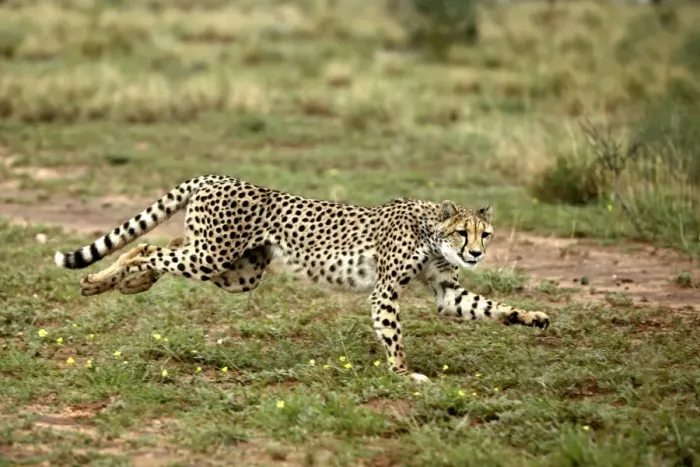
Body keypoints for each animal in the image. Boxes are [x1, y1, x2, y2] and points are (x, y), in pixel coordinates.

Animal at [54, 175, 550, 383]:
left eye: (485, 233)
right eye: (463, 232)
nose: (476, 253)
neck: (432, 231)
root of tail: (216, 176)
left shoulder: (446, 291)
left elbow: (490, 307)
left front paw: (534, 317)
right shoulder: (385, 291)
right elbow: (394, 335)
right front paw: (404, 373)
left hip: (240, 272)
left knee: (159, 248)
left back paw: (119, 283)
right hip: (212, 255)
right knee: (148, 248)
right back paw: (107, 281)